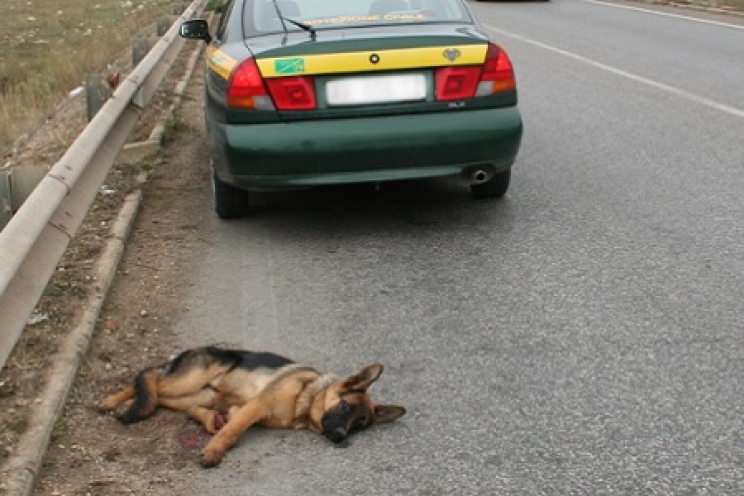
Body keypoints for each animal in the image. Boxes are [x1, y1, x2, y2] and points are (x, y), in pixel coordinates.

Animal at [99, 346, 406, 466]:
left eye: (361, 425)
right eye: (345, 407)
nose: (341, 437)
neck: (305, 400)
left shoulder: (242, 409)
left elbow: (227, 423)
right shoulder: (257, 406)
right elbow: (231, 430)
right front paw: (214, 451)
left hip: (198, 396)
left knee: (158, 393)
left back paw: (126, 403)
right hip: (189, 381)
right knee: (149, 374)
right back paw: (113, 401)